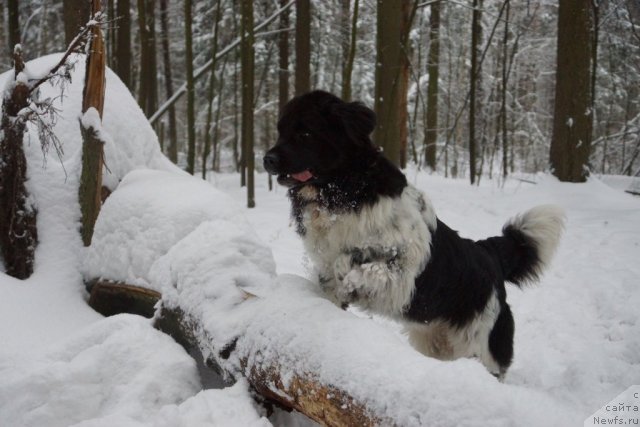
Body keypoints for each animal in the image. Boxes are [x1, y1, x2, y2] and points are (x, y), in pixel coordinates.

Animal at [262, 90, 564, 378]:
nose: (267, 159)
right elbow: (332, 279)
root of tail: (488, 255)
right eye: (280, 130)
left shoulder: (404, 273)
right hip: (435, 340)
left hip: (482, 344)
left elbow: (358, 265)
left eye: (305, 132)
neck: (344, 192)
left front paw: (350, 279)